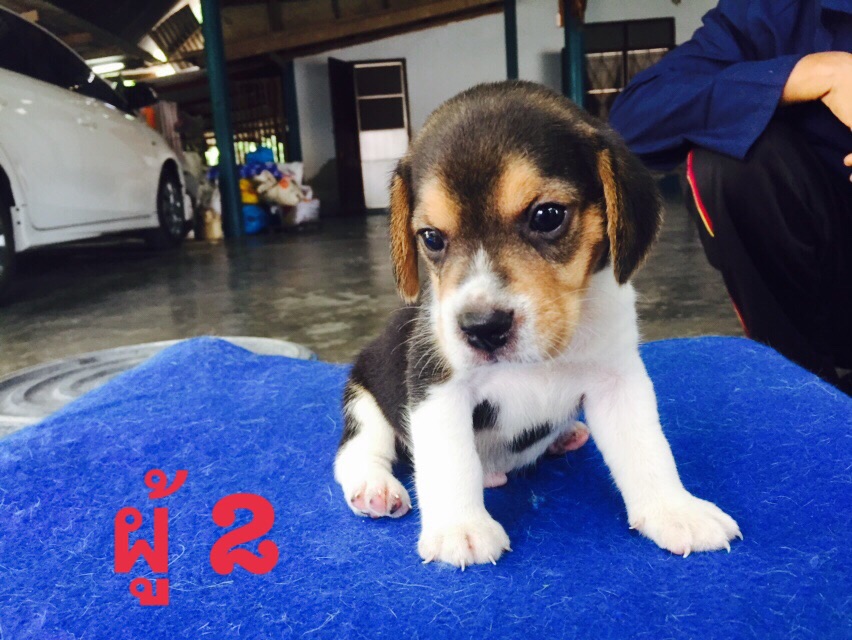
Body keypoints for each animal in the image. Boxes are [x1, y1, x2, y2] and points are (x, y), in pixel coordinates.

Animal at [334, 81, 741, 568]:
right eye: (431, 238)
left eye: (547, 216)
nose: (482, 327)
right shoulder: (437, 385)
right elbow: (450, 460)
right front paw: (460, 529)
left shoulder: (618, 381)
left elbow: (648, 450)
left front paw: (675, 511)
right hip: (364, 394)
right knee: (357, 451)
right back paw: (375, 487)